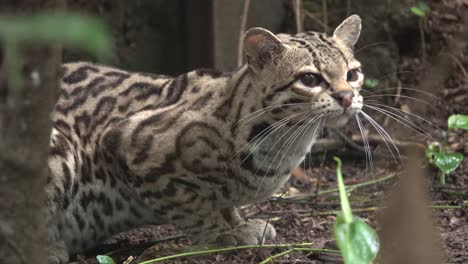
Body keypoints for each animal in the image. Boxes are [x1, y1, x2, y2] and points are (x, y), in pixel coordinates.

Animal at [46, 15, 366, 262]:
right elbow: (192, 206)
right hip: (59, 148)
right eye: (310, 79)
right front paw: (220, 234)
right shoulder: (127, 141)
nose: (347, 97)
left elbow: (223, 202)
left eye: (353, 74)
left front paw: (239, 224)